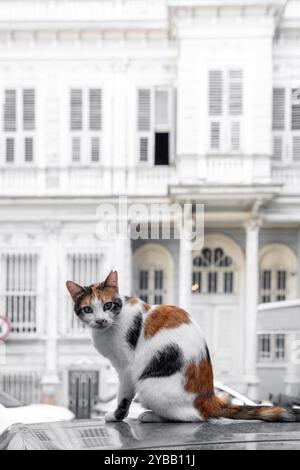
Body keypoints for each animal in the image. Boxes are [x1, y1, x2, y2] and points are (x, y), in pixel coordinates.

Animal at [67, 272, 298, 422]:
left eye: (107, 305)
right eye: (88, 309)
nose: (100, 320)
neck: (113, 323)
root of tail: (210, 398)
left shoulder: (126, 369)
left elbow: (123, 396)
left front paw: (116, 416)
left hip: (148, 385)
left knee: (193, 417)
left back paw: (150, 416)